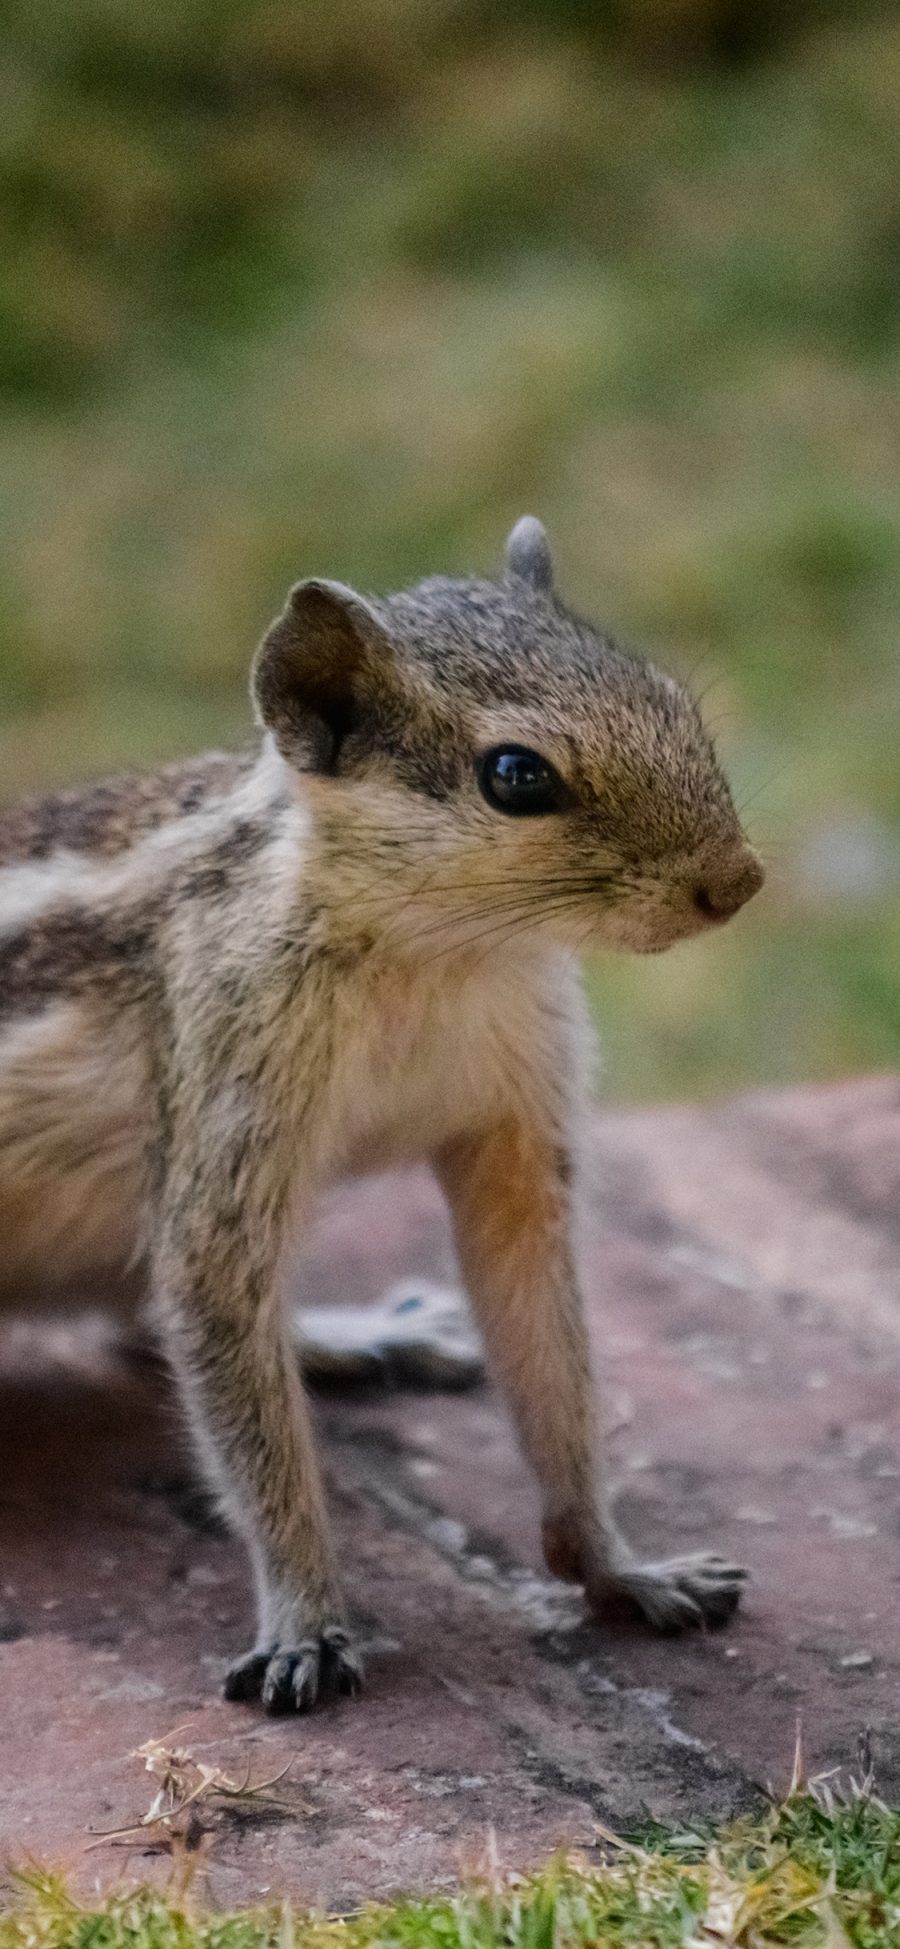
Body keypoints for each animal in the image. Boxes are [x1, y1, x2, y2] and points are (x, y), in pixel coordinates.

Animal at [0, 522, 759, 1722]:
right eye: (516, 776)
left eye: (671, 698)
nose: (738, 881)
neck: (439, 953)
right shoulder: (229, 1103)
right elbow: (231, 1362)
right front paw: (304, 1622)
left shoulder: (515, 1131)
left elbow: (547, 1345)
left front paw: (620, 1564)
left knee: (136, 1320)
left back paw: (369, 1334)